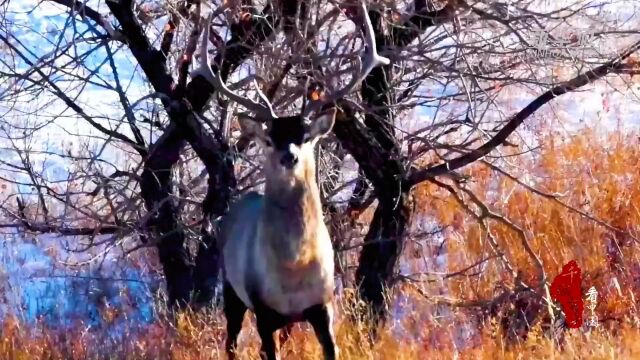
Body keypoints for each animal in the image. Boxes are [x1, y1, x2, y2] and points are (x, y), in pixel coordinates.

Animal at [191, 1, 390, 358]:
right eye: (270, 140)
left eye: (306, 137)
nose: (289, 156)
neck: (293, 270)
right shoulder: (263, 310)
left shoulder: (322, 307)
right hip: (231, 288)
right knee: (231, 342)